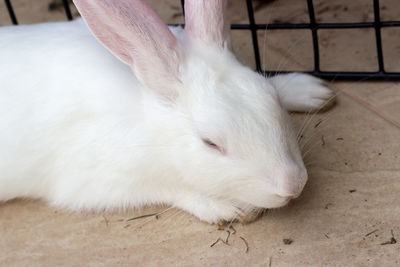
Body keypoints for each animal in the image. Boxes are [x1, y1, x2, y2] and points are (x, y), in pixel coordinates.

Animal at [0, 0, 334, 224]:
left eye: (272, 100)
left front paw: (312, 90)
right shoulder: (97, 181)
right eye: (210, 143)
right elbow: (170, 190)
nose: (293, 184)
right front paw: (227, 208)